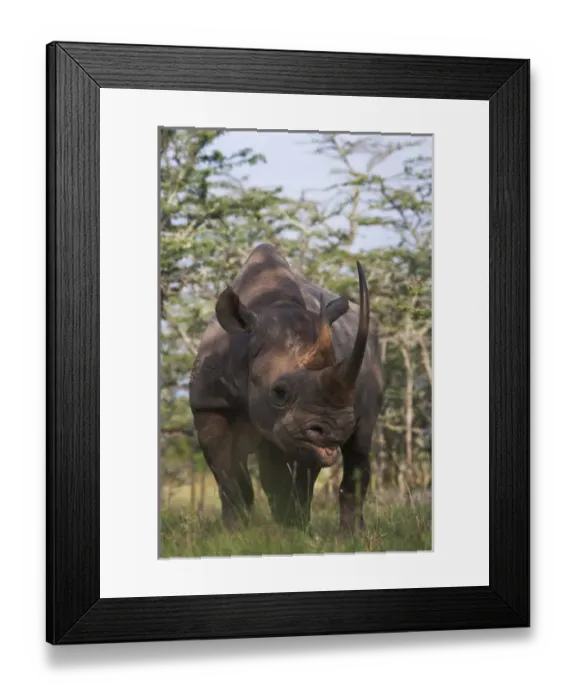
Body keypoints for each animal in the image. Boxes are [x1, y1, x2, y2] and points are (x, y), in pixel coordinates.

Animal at [189, 243, 383, 532]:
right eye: (279, 393)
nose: (335, 429)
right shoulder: (210, 404)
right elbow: (228, 474)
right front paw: (235, 532)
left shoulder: (293, 428)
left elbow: (286, 476)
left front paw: (291, 530)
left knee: (358, 442)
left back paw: (350, 536)